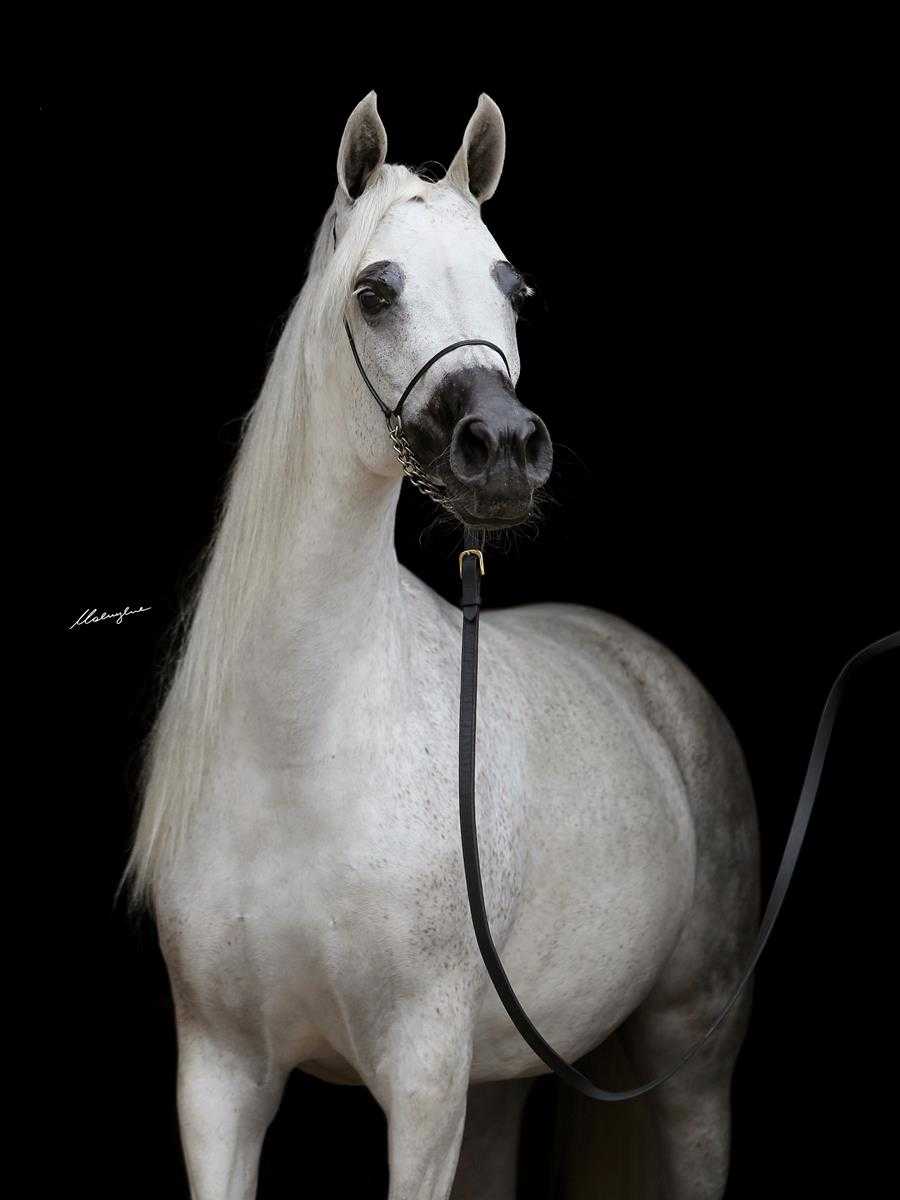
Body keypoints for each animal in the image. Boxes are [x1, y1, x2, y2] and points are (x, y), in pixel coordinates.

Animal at [123, 92, 760, 1200]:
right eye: (376, 291)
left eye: (518, 288)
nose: (504, 450)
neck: (299, 747)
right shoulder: (219, 1080)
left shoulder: (421, 1081)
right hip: (507, 1069)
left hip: (690, 1056)